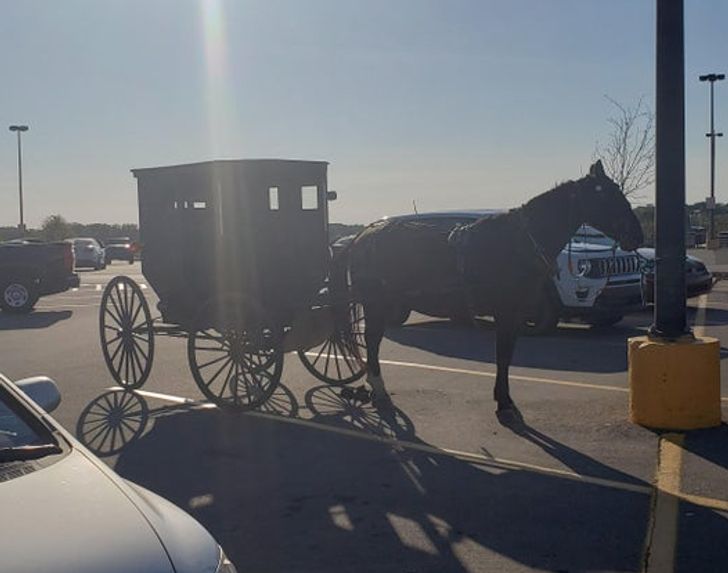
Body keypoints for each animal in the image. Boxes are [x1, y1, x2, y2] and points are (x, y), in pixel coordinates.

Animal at [342, 161, 644, 416]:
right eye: (605, 195)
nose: (637, 235)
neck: (521, 241)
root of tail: (362, 235)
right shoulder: (506, 311)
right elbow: (503, 355)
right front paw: (504, 401)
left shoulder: (515, 312)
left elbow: (506, 355)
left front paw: (504, 398)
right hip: (375, 303)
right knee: (372, 341)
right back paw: (378, 388)